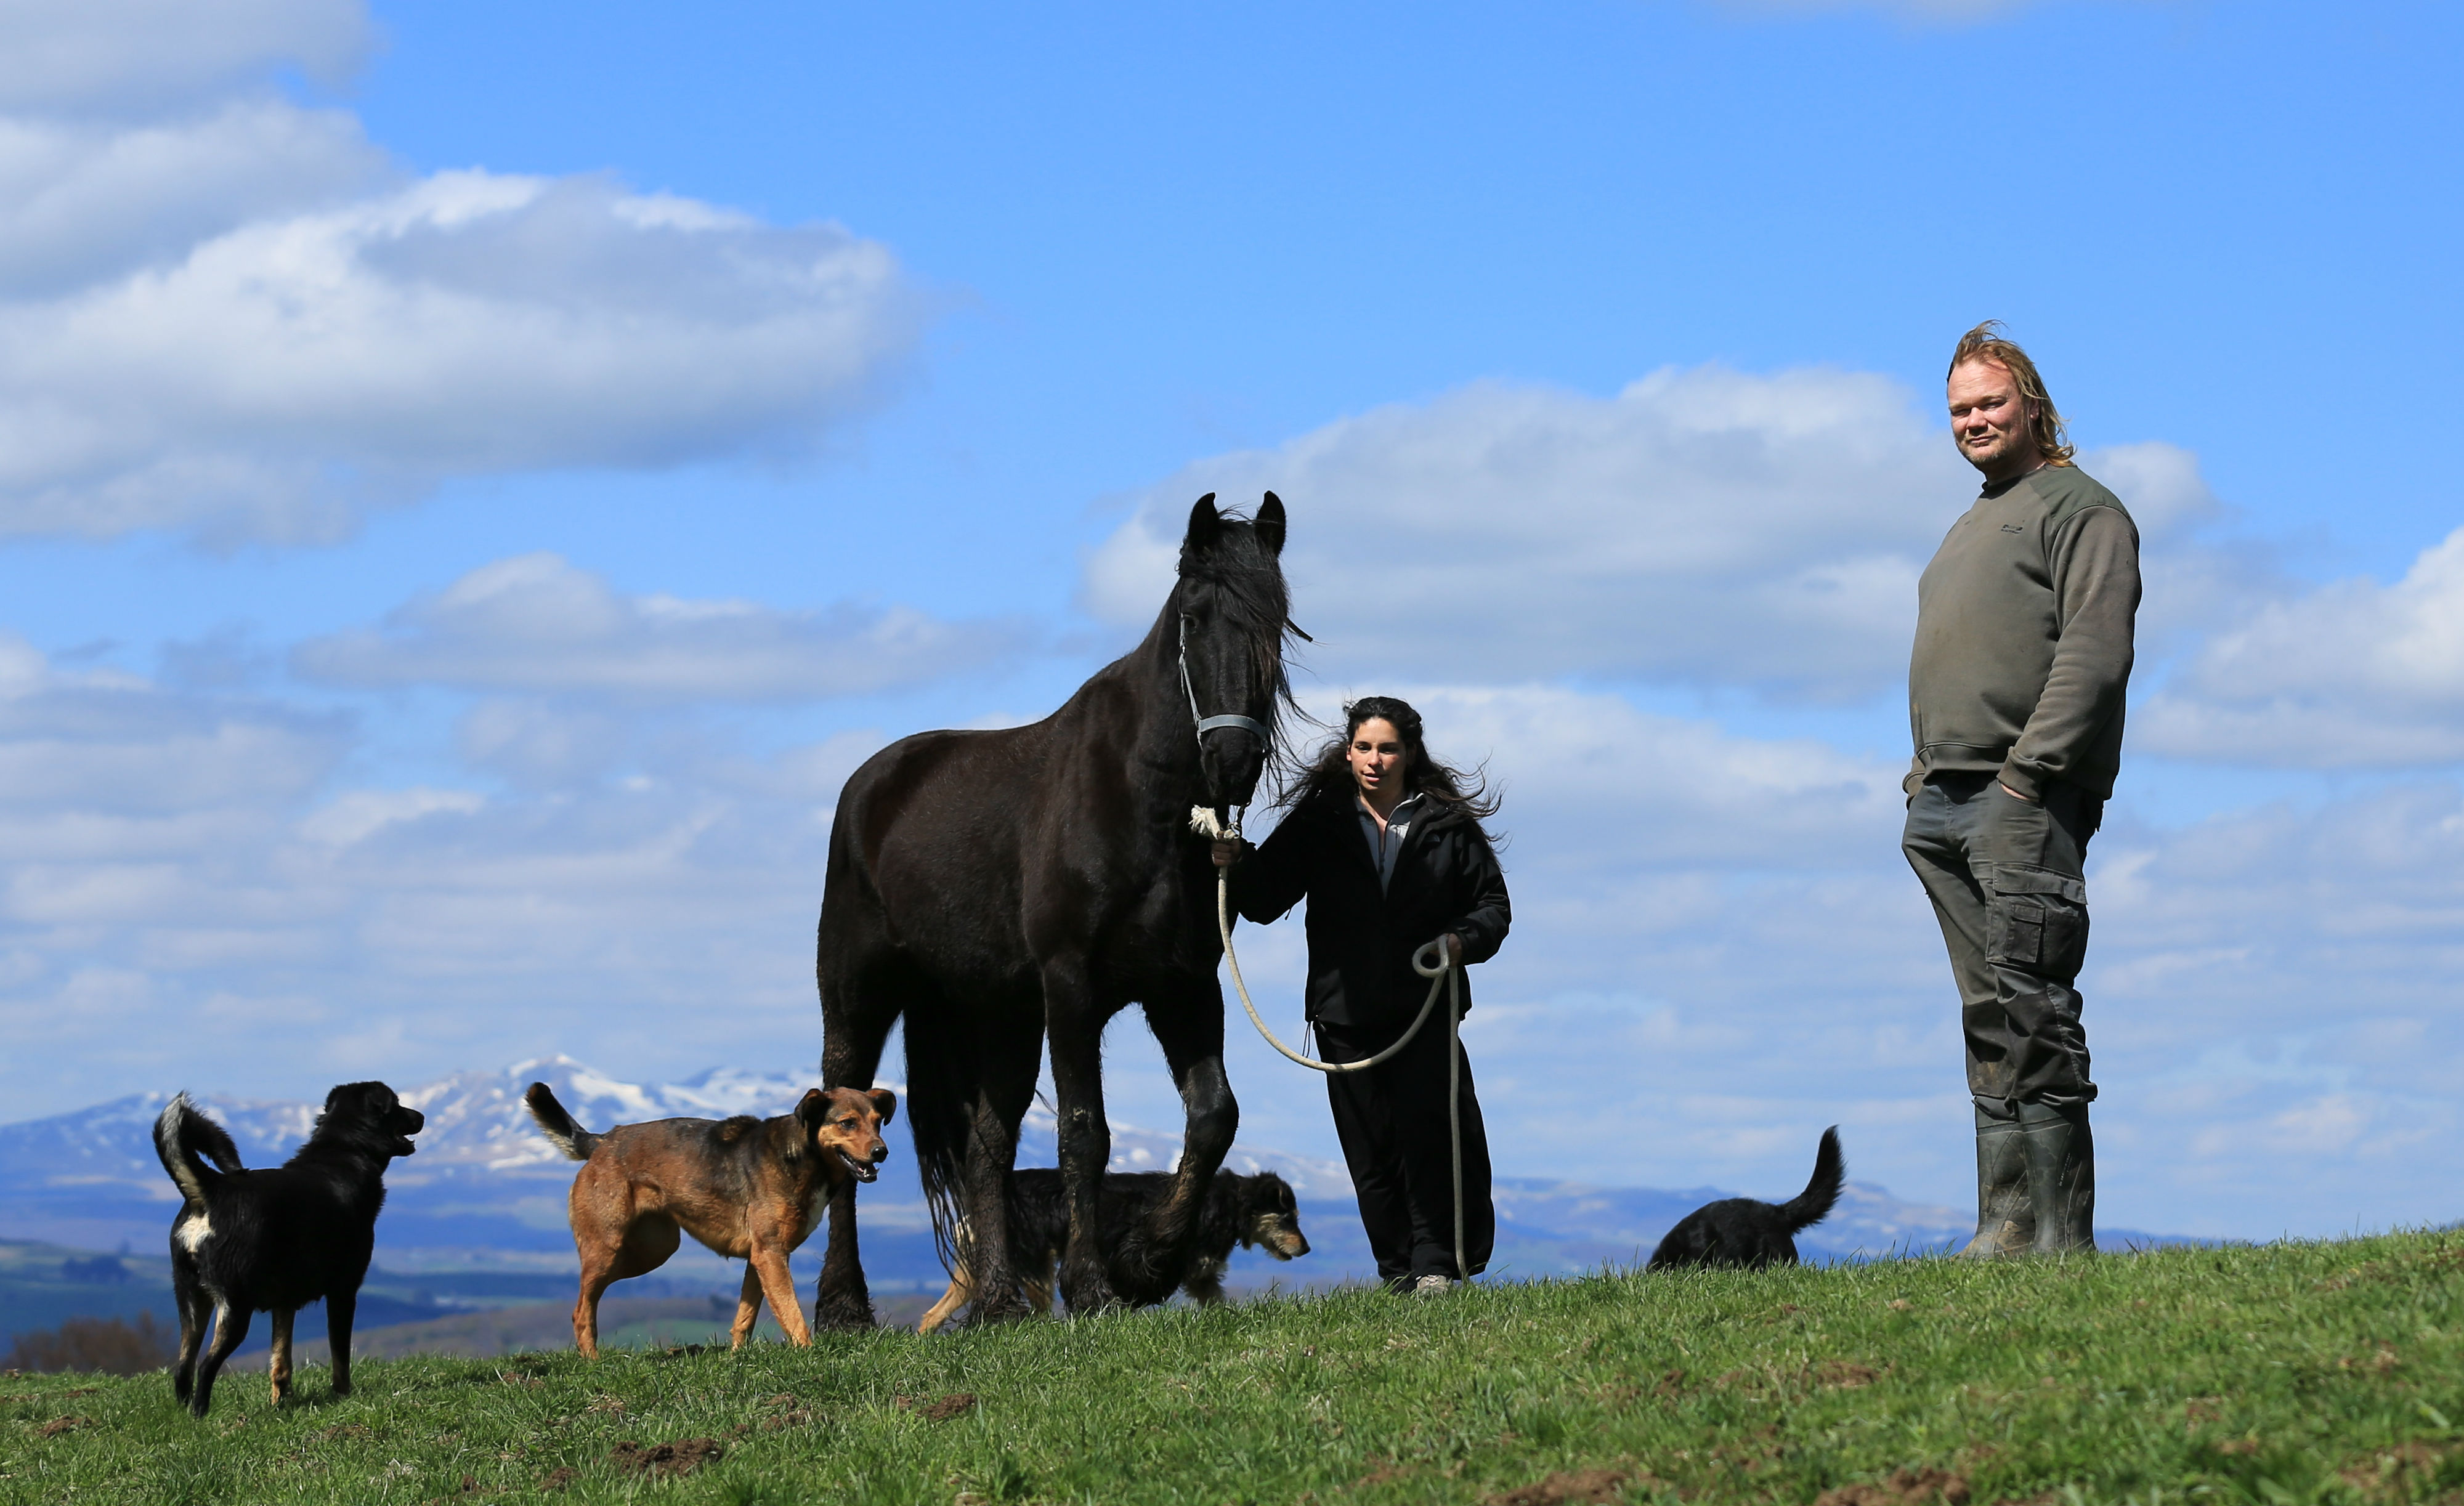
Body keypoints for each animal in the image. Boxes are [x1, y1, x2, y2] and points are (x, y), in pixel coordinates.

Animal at [154, 1084, 426, 1409]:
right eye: (396, 1104)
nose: (422, 1115)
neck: (345, 1150)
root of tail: (210, 1190)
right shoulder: (344, 1292)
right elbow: (340, 1356)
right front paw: (342, 1396)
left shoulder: (284, 1303)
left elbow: (281, 1361)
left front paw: (280, 1402)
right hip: (235, 1305)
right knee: (206, 1366)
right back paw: (201, 1414)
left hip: (191, 1299)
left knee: (183, 1369)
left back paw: (187, 1414)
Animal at [520, 1084, 897, 1350]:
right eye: (847, 1123)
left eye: (878, 1123)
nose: (882, 1152)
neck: (804, 1155)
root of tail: (601, 1142)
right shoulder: (771, 1254)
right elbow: (791, 1312)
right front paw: (807, 1355)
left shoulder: (760, 1258)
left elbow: (745, 1317)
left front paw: (736, 1358)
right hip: (606, 1248)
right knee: (582, 1310)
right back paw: (593, 1362)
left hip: (651, 1251)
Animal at [922, 1168, 1311, 1330]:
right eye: (1287, 1219)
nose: (1307, 1250)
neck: (1229, 1204)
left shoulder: (1201, 1277)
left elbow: (1217, 1304)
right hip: (1034, 1265)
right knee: (1038, 1307)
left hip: (979, 1269)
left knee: (933, 1314)